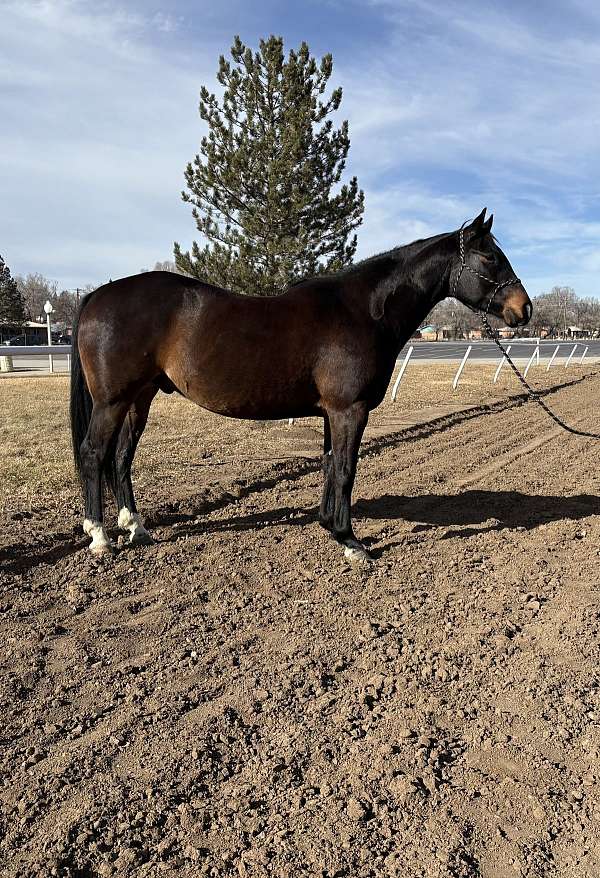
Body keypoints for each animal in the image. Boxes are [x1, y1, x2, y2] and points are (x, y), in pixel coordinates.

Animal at [69, 209, 528, 560]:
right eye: (490, 257)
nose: (523, 309)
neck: (363, 310)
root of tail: (97, 295)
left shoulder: (332, 412)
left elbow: (329, 464)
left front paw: (329, 526)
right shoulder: (349, 410)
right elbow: (345, 469)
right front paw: (351, 542)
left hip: (139, 399)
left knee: (121, 457)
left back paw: (136, 528)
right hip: (112, 401)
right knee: (94, 454)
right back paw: (100, 537)